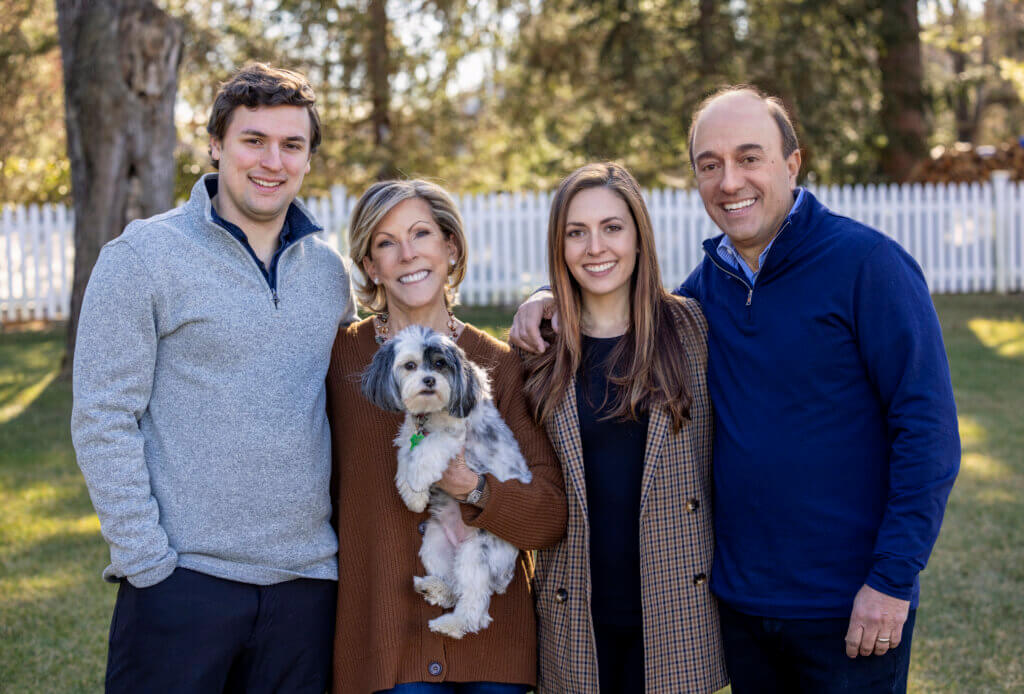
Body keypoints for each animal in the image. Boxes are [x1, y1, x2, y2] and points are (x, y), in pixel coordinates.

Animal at [362, 325, 536, 642]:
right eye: (410, 366)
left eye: (440, 364)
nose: (429, 380)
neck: (430, 415)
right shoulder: (411, 433)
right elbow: (406, 451)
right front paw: (412, 494)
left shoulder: (456, 438)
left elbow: (429, 449)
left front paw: (417, 480)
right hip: (435, 544)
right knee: (454, 587)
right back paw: (434, 588)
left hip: (476, 554)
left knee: (474, 607)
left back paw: (451, 624)